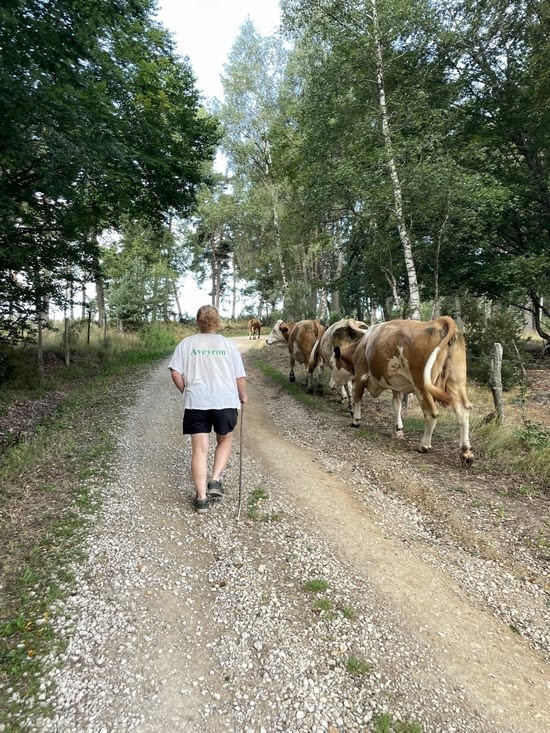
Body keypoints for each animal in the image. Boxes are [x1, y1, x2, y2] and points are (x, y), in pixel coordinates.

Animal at [330, 316, 474, 464]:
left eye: (332, 364)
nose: (331, 384)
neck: (361, 346)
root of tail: (438, 323)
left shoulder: (360, 376)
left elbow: (357, 397)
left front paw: (355, 420)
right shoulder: (396, 385)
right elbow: (396, 406)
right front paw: (398, 429)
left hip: (422, 386)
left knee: (431, 413)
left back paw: (424, 445)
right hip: (456, 382)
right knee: (463, 410)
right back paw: (466, 450)